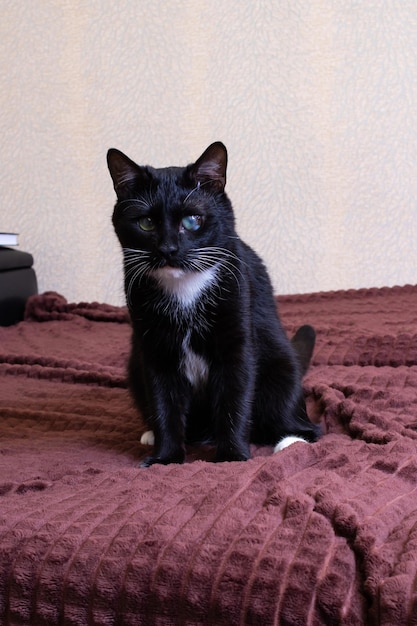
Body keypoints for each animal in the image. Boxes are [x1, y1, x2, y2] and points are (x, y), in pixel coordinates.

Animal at [107, 141, 318, 464]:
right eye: (145, 223)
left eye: (192, 221)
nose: (168, 249)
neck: (184, 287)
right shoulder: (153, 347)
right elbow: (163, 399)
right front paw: (165, 457)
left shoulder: (237, 330)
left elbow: (235, 395)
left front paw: (231, 456)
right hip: (134, 366)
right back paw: (152, 434)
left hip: (280, 362)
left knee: (297, 414)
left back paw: (292, 439)